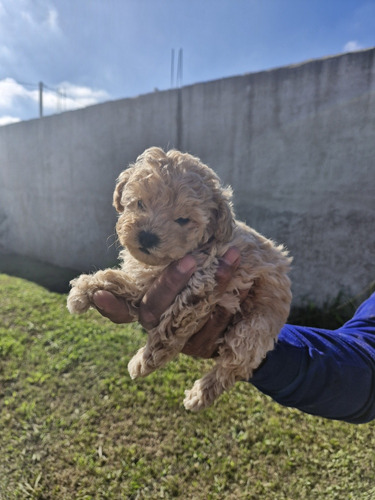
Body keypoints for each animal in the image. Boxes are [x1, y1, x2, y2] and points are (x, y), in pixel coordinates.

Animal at [67, 147, 292, 410]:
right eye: (140, 203)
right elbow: (123, 281)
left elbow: (168, 331)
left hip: (254, 328)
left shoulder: (200, 284)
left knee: (234, 367)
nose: (147, 236)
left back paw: (200, 395)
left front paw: (143, 362)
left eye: (183, 219)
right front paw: (83, 290)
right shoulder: (148, 280)